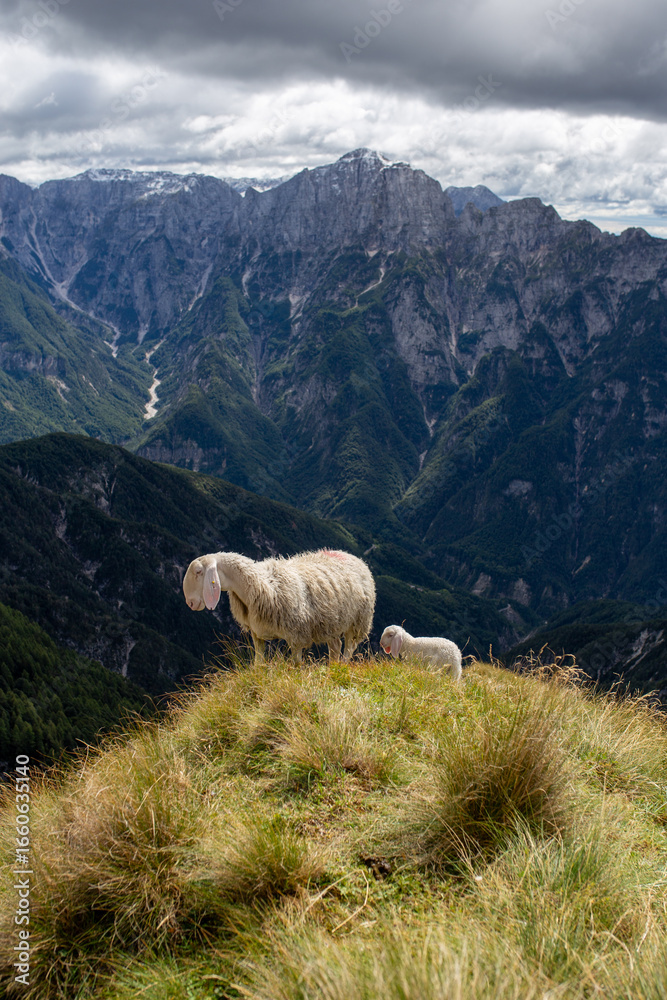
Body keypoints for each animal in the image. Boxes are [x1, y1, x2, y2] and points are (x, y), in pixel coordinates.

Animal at [183, 548, 375, 664]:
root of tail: (352, 556)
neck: (260, 583)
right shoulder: (257, 634)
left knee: (348, 648)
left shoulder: (297, 636)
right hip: (331, 622)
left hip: (358, 621)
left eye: (198, 572)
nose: (190, 603)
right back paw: (332, 667)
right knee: (335, 646)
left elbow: (296, 666)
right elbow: (258, 663)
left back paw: (341, 666)